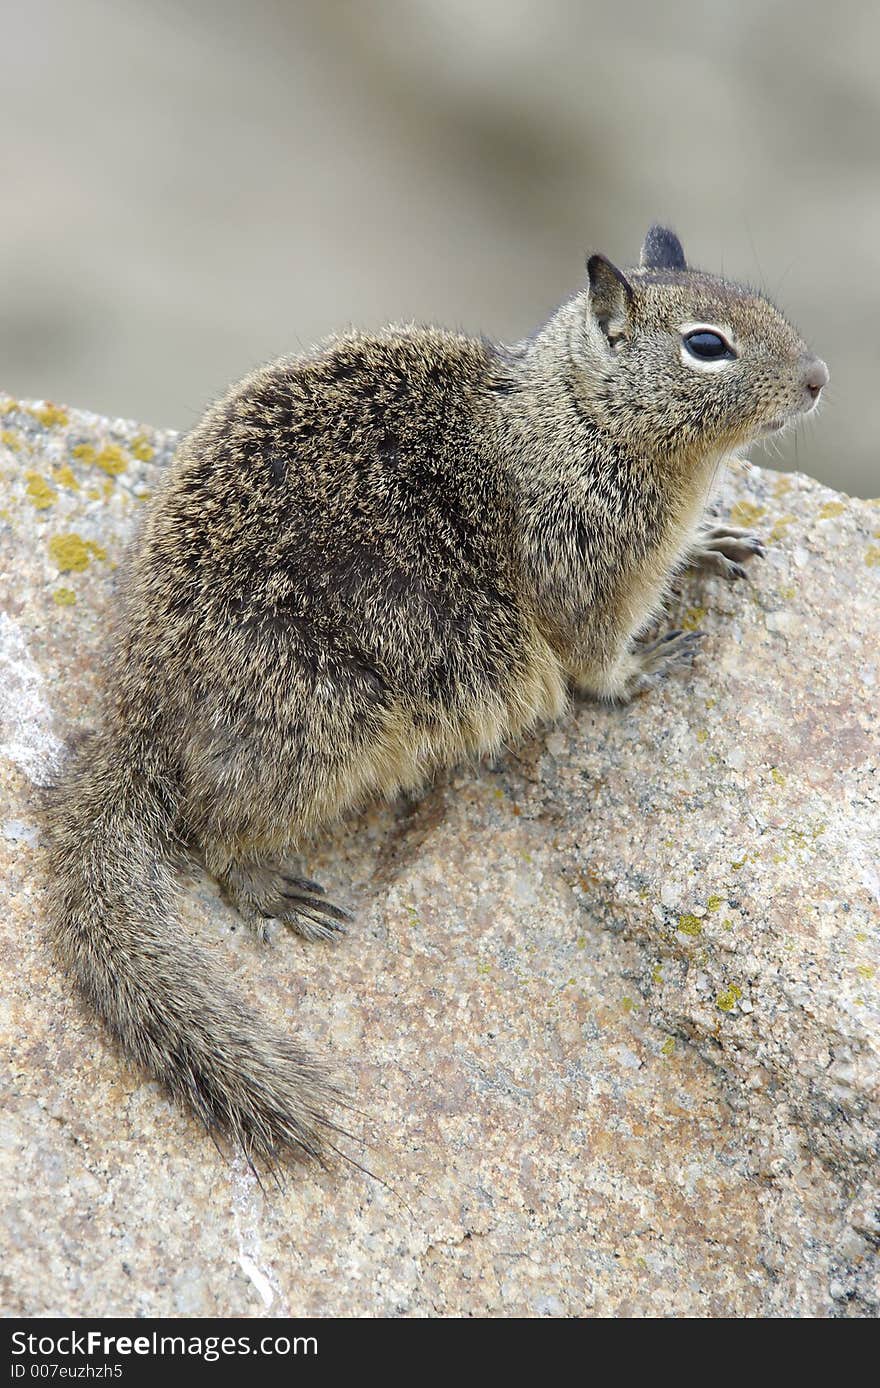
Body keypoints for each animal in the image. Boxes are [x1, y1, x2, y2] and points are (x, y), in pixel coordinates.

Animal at [44, 230, 827, 1171]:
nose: (820, 377)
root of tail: (136, 703)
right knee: (218, 835)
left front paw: (713, 542)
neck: (578, 418)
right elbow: (595, 665)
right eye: (707, 345)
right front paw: (651, 663)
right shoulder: (588, 577)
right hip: (317, 726)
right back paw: (279, 893)